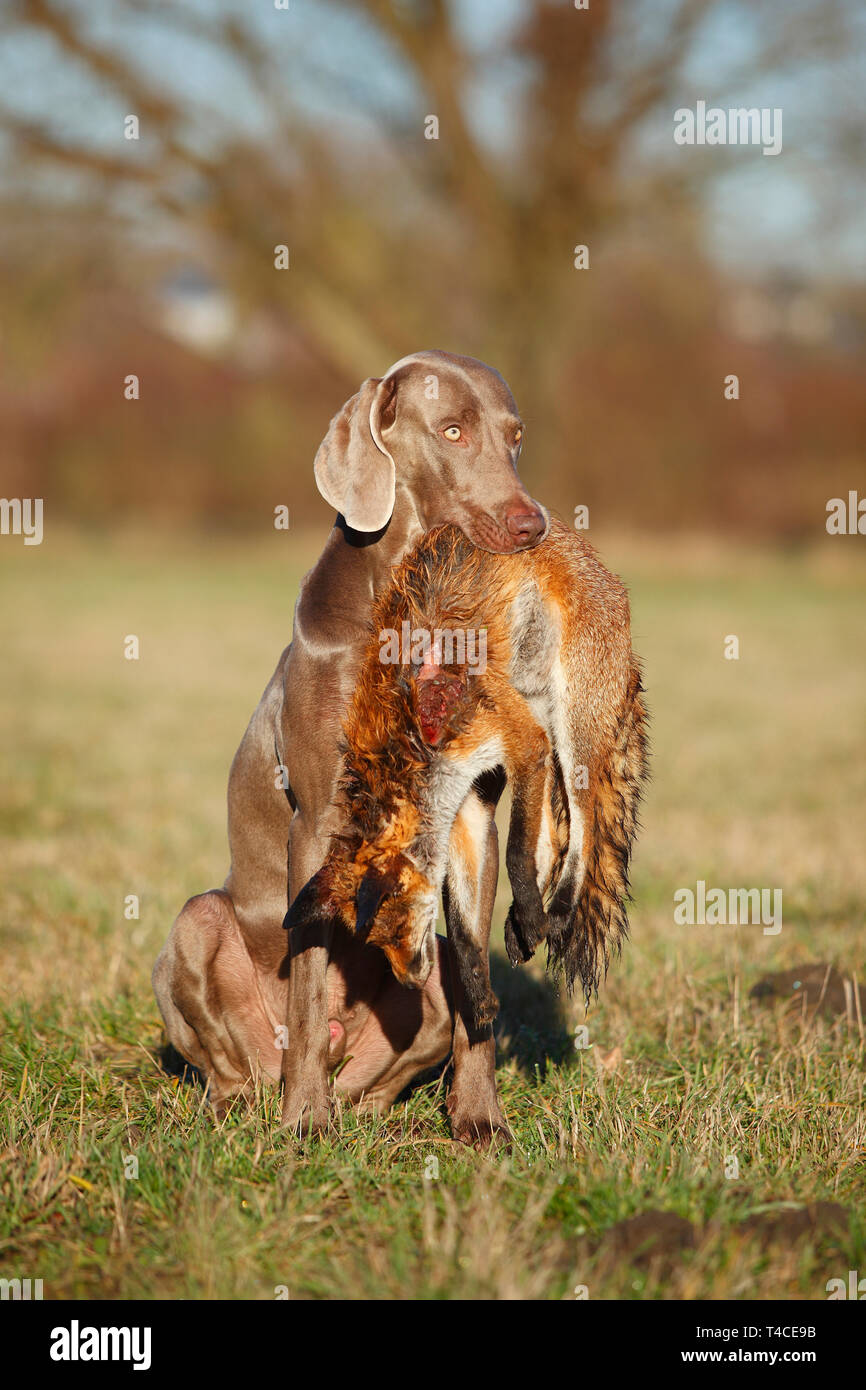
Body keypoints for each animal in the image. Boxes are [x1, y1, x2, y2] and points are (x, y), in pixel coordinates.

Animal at [285, 517, 648, 1031]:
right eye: (375, 942)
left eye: (396, 926)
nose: (410, 982)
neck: (411, 742)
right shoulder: (464, 801)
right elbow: (461, 920)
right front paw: (478, 993)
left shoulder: (521, 742)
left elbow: (514, 853)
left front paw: (533, 918)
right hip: (545, 726)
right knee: (551, 836)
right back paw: (522, 922)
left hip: (570, 726)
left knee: (586, 827)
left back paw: (556, 910)